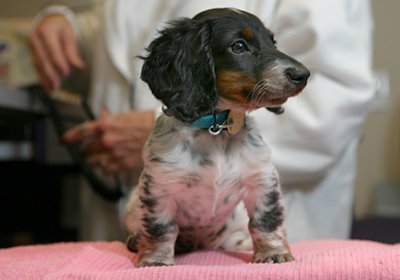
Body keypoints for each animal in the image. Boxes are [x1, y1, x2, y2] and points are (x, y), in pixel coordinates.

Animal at [125, 7, 310, 268]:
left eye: (272, 41)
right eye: (239, 46)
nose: (303, 74)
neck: (217, 130)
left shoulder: (262, 178)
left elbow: (266, 220)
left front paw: (273, 253)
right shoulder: (159, 186)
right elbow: (160, 227)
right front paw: (155, 259)